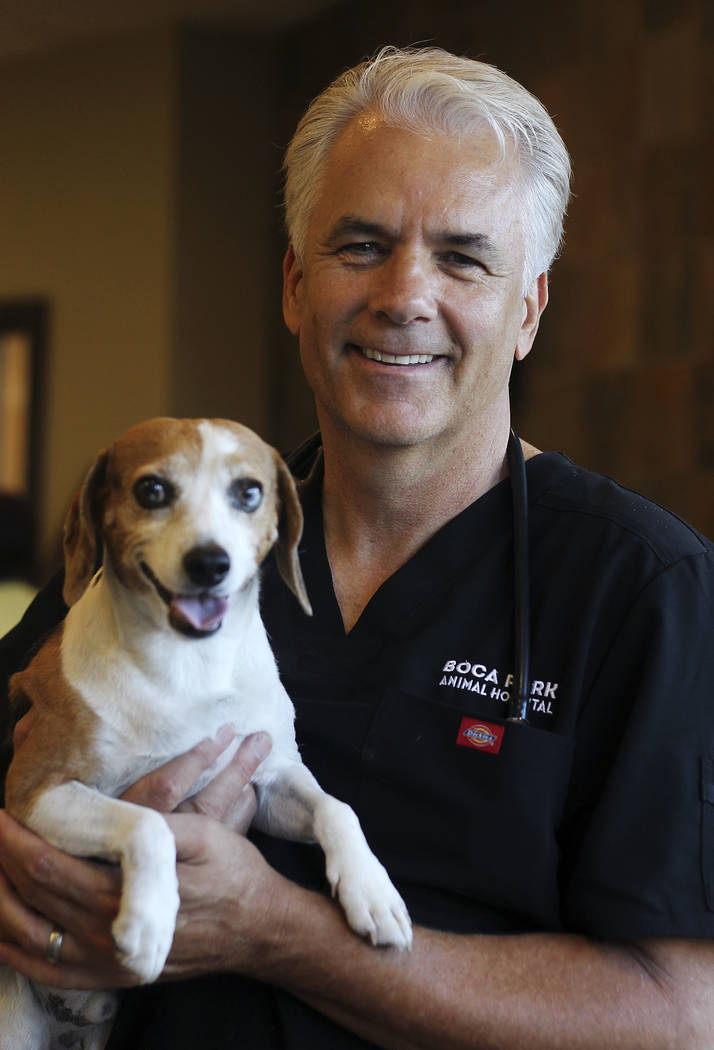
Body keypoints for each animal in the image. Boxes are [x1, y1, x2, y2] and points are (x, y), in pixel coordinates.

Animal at [0, 417, 409, 1050]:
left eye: (249, 492)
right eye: (152, 491)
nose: (209, 562)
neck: (186, 667)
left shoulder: (270, 780)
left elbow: (337, 809)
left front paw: (372, 889)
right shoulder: (34, 787)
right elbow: (149, 824)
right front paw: (149, 921)